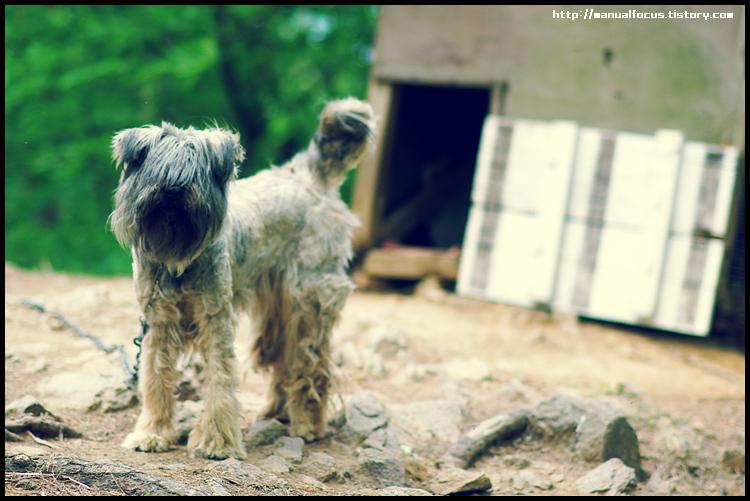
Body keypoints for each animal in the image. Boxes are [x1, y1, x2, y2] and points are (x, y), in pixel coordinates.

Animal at [111, 96, 376, 458]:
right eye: (159, 169)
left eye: (196, 172)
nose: (174, 191)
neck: (177, 259)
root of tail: (309, 176)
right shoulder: (158, 322)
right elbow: (155, 378)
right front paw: (152, 433)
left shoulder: (215, 319)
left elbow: (220, 380)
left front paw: (216, 441)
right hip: (277, 308)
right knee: (283, 358)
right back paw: (277, 411)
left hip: (309, 304)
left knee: (311, 366)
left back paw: (308, 423)